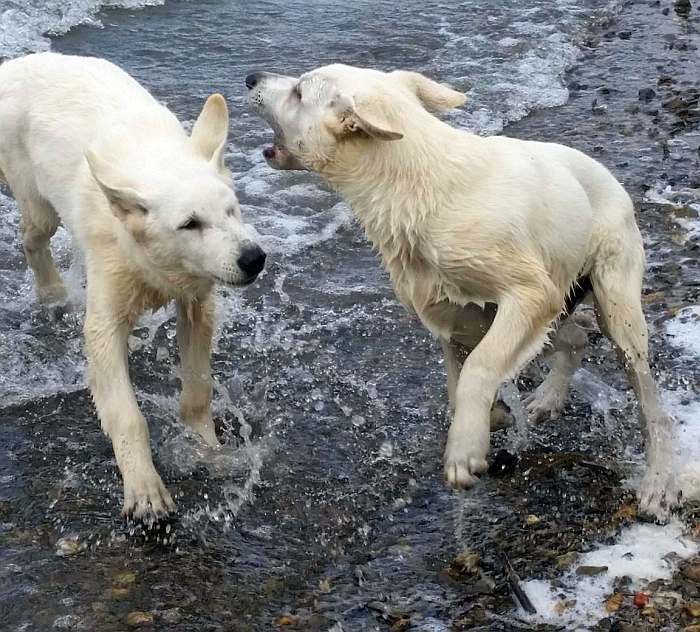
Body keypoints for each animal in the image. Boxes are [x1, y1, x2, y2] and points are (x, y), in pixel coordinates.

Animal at [0, 53, 266, 520]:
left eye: (232, 209)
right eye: (189, 223)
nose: (254, 258)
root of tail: (14, 64)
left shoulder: (198, 300)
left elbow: (198, 384)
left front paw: (207, 449)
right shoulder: (105, 312)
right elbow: (126, 413)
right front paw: (144, 490)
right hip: (34, 196)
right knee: (33, 239)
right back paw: (53, 295)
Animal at [247, 63, 680, 520]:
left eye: (298, 92)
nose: (250, 78)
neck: (414, 184)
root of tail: (611, 180)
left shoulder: (530, 293)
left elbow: (478, 370)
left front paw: (465, 449)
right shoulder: (453, 315)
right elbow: (458, 382)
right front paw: (490, 419)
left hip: (615, 304)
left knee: (650, 403)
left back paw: (659, 482)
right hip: (538, 314)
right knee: (576, 337)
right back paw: (548, 397)